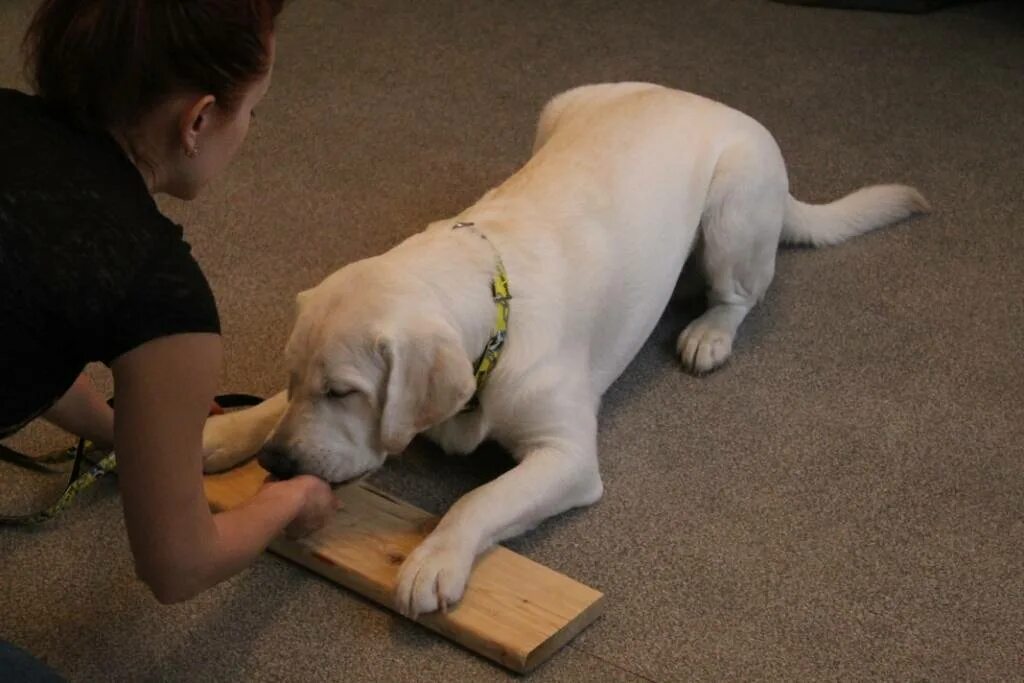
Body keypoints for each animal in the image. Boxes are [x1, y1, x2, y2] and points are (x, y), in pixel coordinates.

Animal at [199, 81, 929, 618]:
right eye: (298, 377)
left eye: (344, 392)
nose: (277, 462)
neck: (493, 302)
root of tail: (706, 98)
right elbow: (268, 406)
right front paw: (228, 428)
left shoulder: (568, 455)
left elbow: (479, 500)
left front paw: (434, 558)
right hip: (558, 108)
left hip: (733, 210)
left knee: (741, 292)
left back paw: (709, 332)